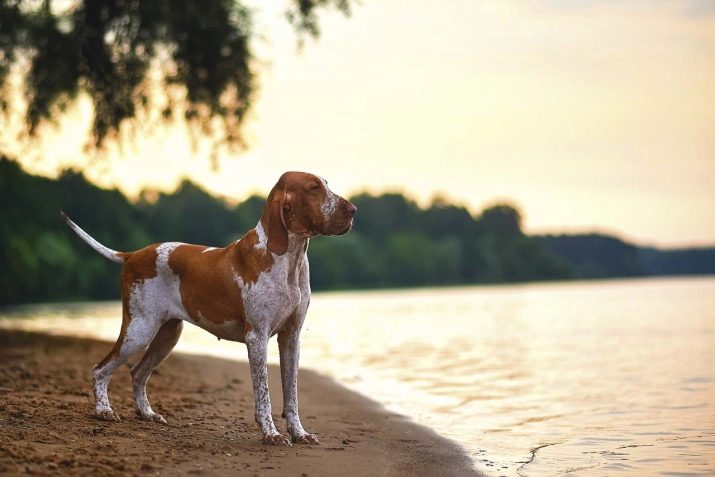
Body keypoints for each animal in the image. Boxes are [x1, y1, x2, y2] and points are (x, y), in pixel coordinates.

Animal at [60, 172, 356, 446]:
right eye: (313, 188)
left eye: (325, 185)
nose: (353, 210)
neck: (289, 259)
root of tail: (133, 255)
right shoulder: (257, 337)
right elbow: (264, 394)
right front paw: (271, 434)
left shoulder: (291, 338)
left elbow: (291, 394)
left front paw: (299, 433)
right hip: (139, 329)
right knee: (100, 369)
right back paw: (103, 411)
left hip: (167, 335)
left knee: (138, 373)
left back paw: (147, 413)